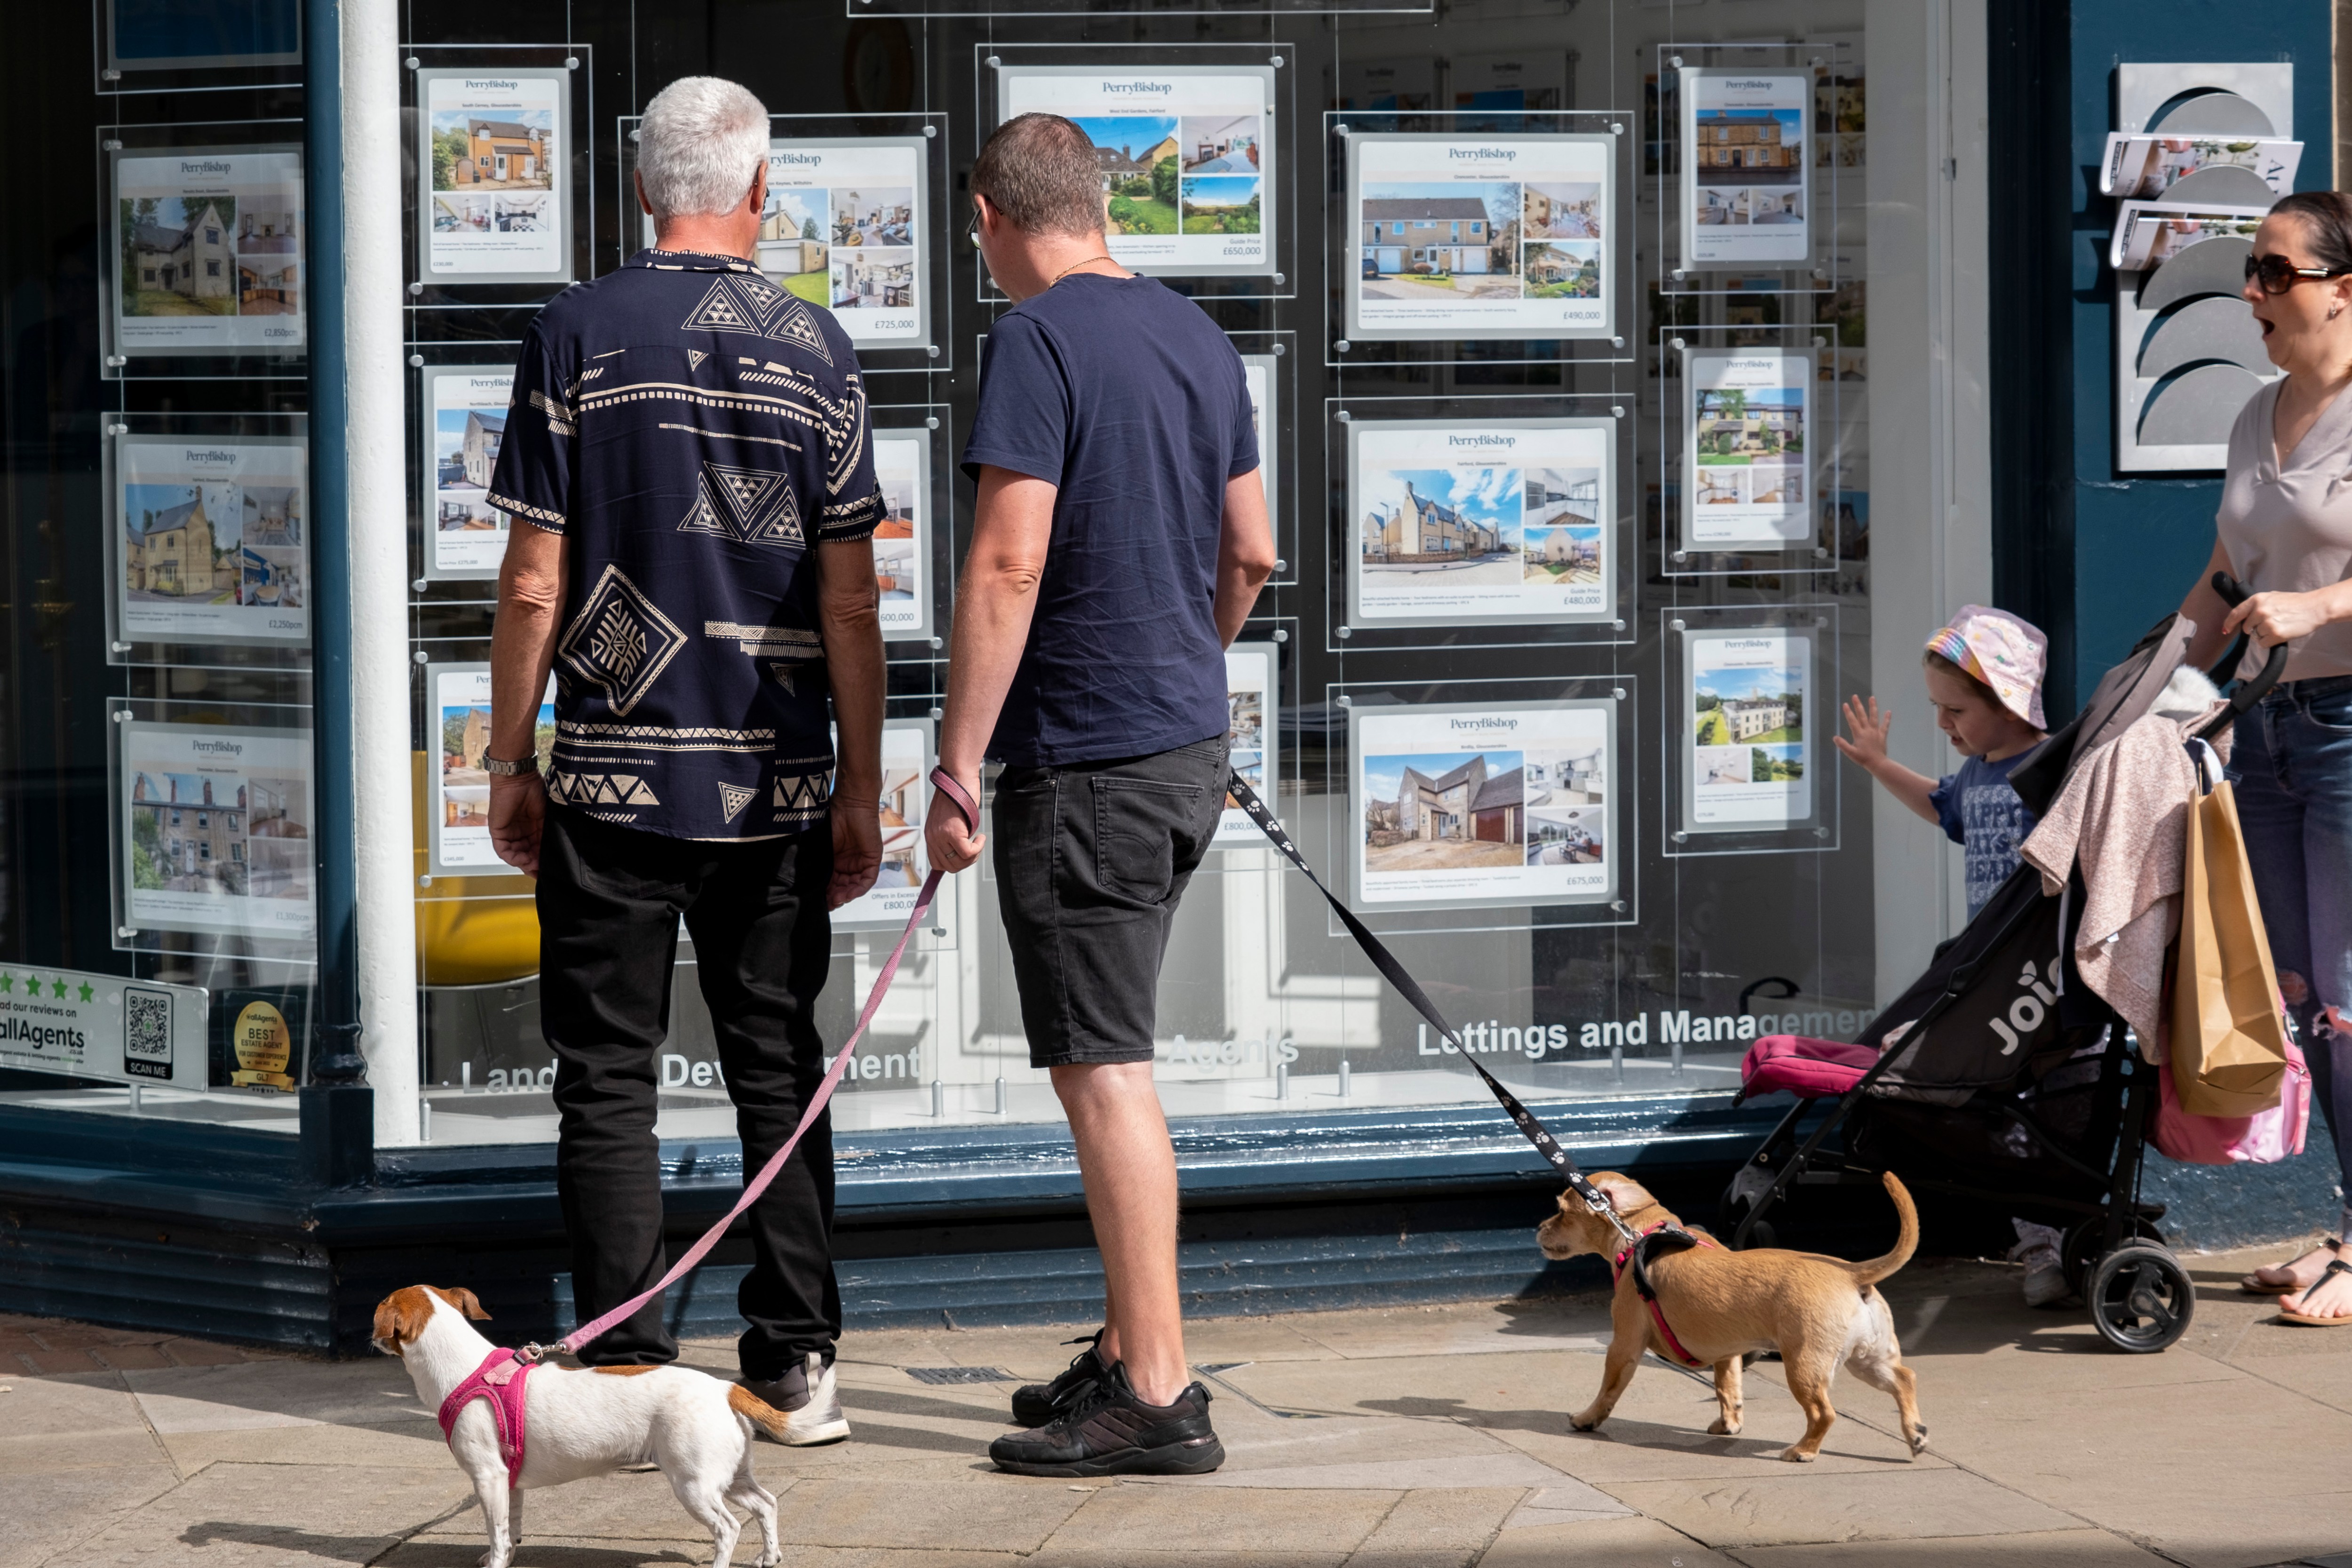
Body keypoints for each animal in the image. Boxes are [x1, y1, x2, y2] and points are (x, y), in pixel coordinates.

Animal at [372, 1288, 786, 1568]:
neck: (469, 1369)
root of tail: (725, 1387)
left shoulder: (487, 1477)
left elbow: (496, 1532)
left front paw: (495, 1560)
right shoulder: (507, 1481)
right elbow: (510, 1529)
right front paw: (504, 1555)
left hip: (694, 1485)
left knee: (728, 1528)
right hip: (730, 1477)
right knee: (766, 1504)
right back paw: (770, 1556)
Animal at [1543, 1170, 1929, 1467]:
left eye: (1561, 1211)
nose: (1540, 1226)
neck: (1640, 1233)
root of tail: (1851, 1273)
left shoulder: (1624, 1346)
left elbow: (1608, 1390)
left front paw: (1587, 1419)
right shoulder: (1728, 1354)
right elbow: (1727, 1389)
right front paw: (1728, 1425)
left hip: (1804, 1366)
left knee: (1824, 1413)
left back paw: (1803, 1450)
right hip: (1868, 1359)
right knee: (1905, 1379)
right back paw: (1915, 1434)